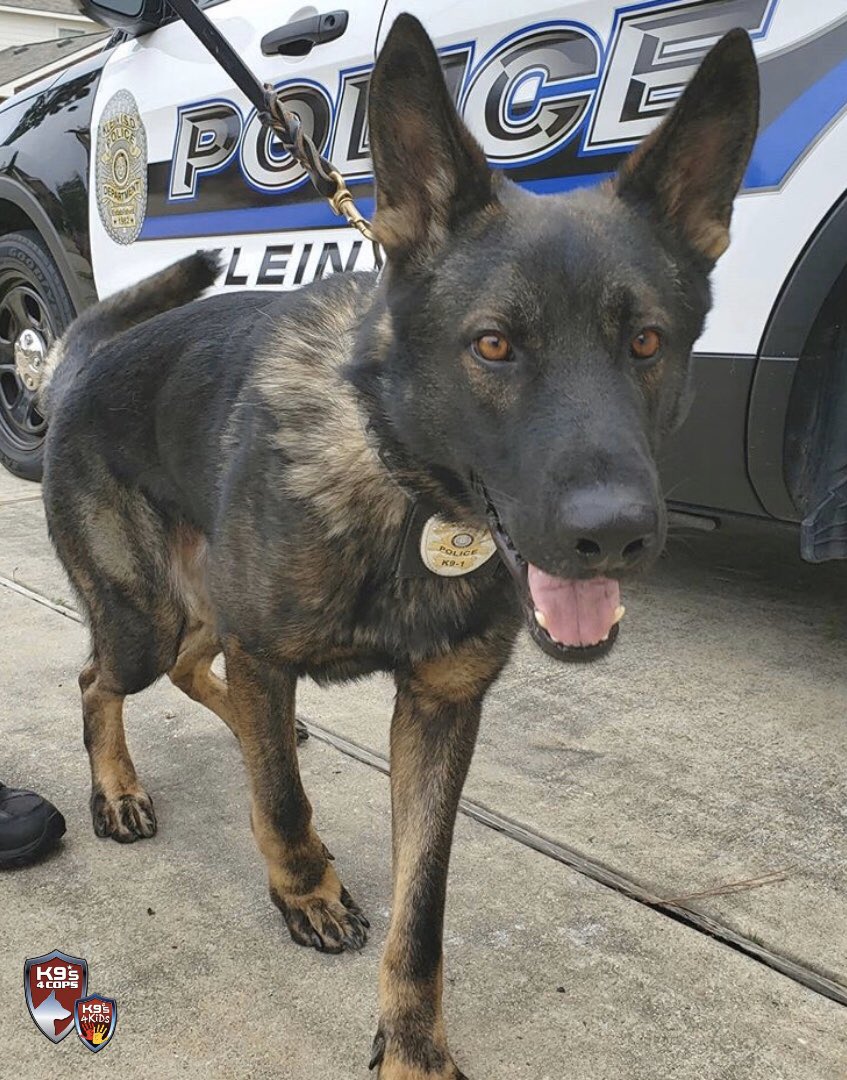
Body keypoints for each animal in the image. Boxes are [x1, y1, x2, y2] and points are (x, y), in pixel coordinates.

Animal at [36, 16, 756, 1080]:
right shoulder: (271, 651)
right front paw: (306, 890)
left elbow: (423, 906)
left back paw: (247, 729)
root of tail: (83, 361)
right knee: (104, 678)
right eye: (493, 345)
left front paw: (413, 1042)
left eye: (647, 343)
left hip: (196, 607)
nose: (615, 537)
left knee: (198, 670)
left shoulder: (438, 712)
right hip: (143, 611)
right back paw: (119, 788)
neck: (404, 484)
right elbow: (282, 805)